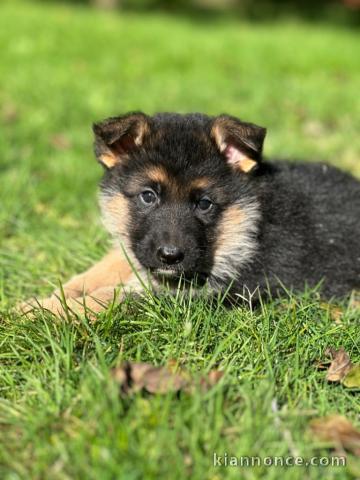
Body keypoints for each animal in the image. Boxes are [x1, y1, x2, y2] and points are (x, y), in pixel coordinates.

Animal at [21, 110, 360, 316]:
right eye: (148, 196)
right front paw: (46, 300)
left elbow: (112, 295)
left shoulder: (201, 292)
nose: (170, 257)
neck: (246, 224)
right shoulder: (139, 248)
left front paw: (38, 314)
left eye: (205, 203)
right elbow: (96, 272)